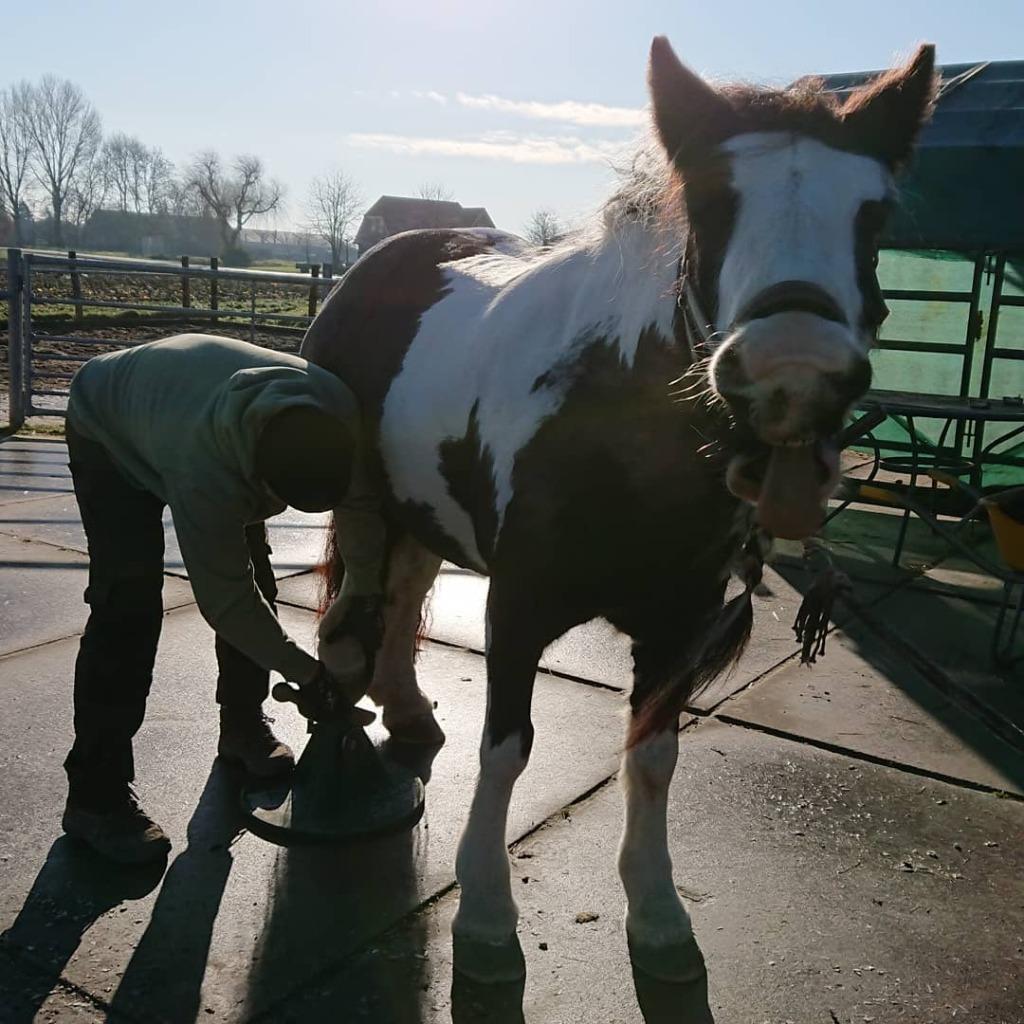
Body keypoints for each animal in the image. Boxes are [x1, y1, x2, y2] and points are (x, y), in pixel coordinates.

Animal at [301, 37, 937, 983]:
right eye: (709, 202)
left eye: (875, 214)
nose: (793, 375)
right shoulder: (516, 607)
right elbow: (507, 745)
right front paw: (485, 910)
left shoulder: (678, 624)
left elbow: (653, 753)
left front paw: (658, 909)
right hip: (368, 509)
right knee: (356, 617)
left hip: (424, 516)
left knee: (405, 604)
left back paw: (407, 708)